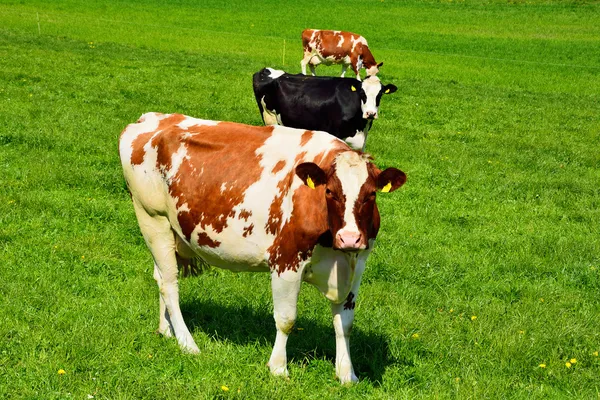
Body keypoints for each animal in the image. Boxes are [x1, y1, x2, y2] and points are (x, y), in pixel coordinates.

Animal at [118, 112, 408, 384]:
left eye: (371, 195)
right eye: (330, 192)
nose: (349, 238)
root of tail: (152, 118)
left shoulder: (357, 264)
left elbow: (344, 323)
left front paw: (347, 374)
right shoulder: (286, 261)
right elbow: (286, 319)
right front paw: (278, 368)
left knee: (159, 277)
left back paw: (166, 330)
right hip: (152, 218)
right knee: (169, 284)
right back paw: (187, 342)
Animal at [251, 68, 396, 151]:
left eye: (380, 94)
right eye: (362, 93)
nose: (370, 113)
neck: (360, 126)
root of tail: (265, 70)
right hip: (269, 117)